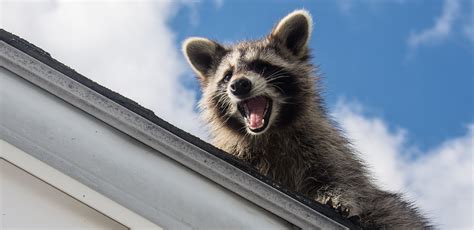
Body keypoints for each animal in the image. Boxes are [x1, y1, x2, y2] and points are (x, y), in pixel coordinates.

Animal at [182, 9, 434, 229]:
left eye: (262, 66)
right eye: (227, 75)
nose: (239, 85)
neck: (270, 131)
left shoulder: (324, 145)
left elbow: (343, 178)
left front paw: (337, 196)